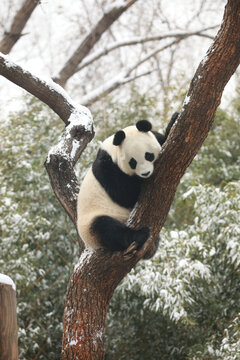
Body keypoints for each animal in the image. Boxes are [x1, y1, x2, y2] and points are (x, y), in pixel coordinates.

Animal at [77, 112, 178, 253]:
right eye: (133, 162)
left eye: (148, 155)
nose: (145, 173)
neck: (112, 150)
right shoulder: (107, 169)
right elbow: (127, 195)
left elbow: (164, 139)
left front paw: (174, 120)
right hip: (91, 223)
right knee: (107, 229)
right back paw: (139, 235)